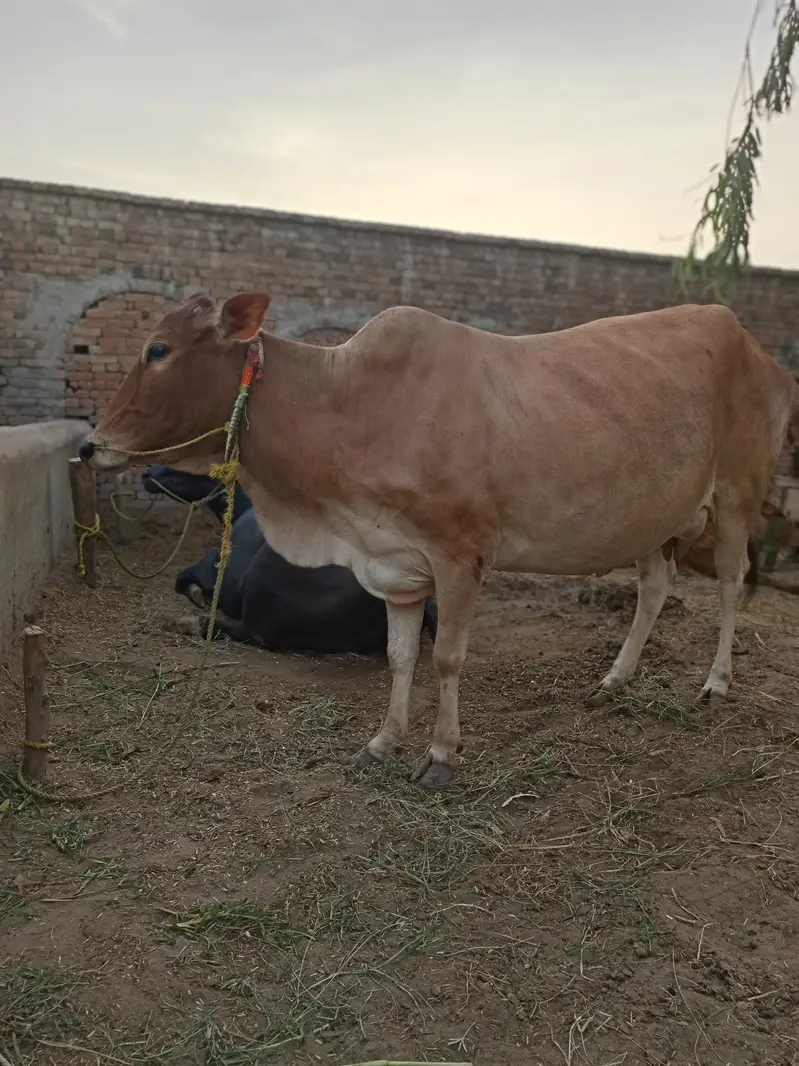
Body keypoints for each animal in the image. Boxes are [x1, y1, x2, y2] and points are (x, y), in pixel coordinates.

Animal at [79, 292, 799, 789]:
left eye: (159, 350)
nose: (90, 446)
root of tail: (752, 343)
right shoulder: (393, 565)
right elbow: (400, 658)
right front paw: (381, 742)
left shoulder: (459, 556)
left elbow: (447, 659)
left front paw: (440, 755)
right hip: (655, 515)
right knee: (654, 588)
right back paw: (613, 680)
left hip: (736, 492)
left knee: (732, 583)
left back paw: (714, 684)